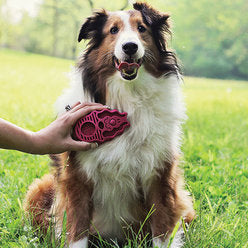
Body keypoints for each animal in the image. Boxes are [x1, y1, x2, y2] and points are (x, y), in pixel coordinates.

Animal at [24, 2, 195, 248]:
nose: (130, 46)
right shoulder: (77, 177)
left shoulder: (160, 175)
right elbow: (77, 231)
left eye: (141, 28)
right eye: (113, 30)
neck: (127, 98)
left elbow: (162, 229)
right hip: (39, 191)